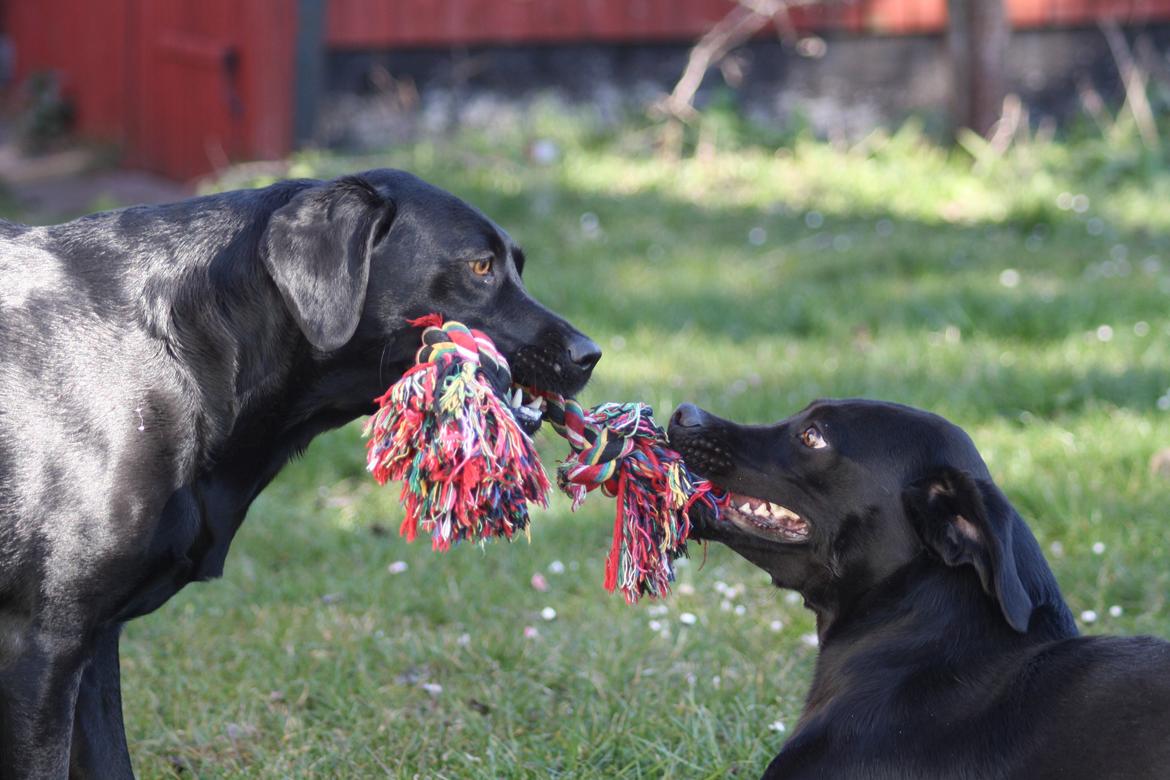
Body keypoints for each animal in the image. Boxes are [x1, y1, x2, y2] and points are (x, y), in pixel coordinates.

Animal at [0, 171, 603, 780]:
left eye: (517, 265)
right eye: (481, 267)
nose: (591, 354)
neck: (184, 348)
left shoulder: (95, 645)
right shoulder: (43, 645)